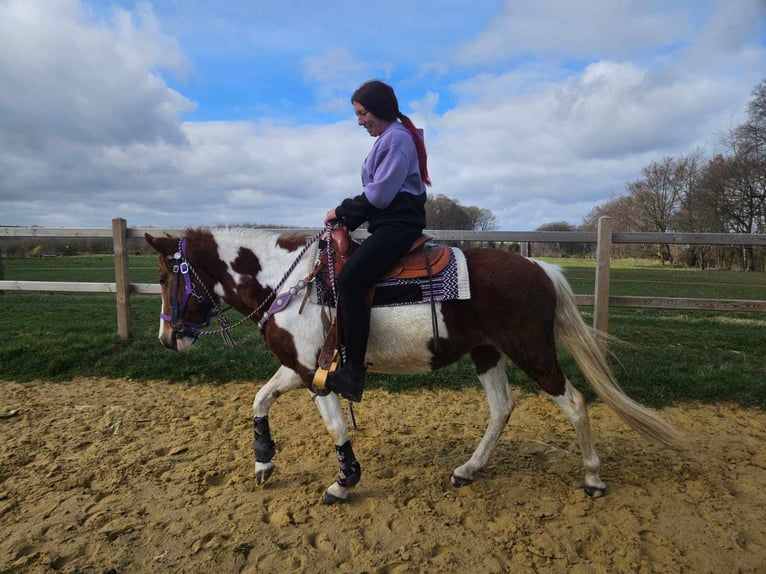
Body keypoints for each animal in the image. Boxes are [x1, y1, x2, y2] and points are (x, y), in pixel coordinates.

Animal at [145, 227, 680, 504]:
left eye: (165, 275)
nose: (167, 338)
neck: (288, 281)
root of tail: (540, 268)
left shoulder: (319, 375)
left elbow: (337, 427)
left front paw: (344, 482)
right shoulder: (300, 367)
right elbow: (259, 399)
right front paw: (263, 461)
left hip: (532, 352)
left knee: (574, 402)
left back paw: (592, 477)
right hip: (487, 353)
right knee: (502, 408)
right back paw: (468, 469)